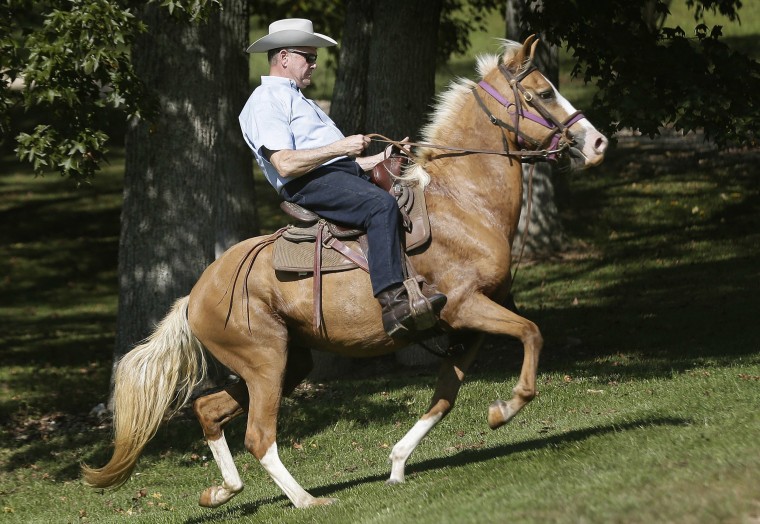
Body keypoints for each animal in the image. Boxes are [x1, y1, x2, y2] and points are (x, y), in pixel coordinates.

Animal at [81, 35, 604, 508]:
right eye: (542, 93)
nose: (596, 142)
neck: (463, 202)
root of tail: (195, 295)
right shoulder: (465, 307)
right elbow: (532, 333)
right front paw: (506, 409)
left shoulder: (466, 324)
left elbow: (445, 395)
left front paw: (399, 462)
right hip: (265, 364)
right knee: (258, 436)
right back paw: (307, 500)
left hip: (287, 362)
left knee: (209, 410)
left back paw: (222, 491)